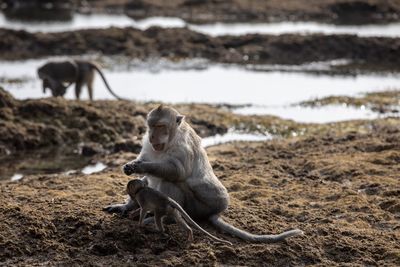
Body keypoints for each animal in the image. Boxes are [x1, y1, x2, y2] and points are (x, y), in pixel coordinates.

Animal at [104, 105, 304, 244]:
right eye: (151, 126)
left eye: (161, 126)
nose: (153, 136)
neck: (170, 139)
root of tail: (214, 211)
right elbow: (144, 179)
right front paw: (127, 194)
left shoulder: (182, 146)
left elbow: (176, 171)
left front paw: (141, 166)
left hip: (197, 207)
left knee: (172, 182)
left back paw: (162, 218)